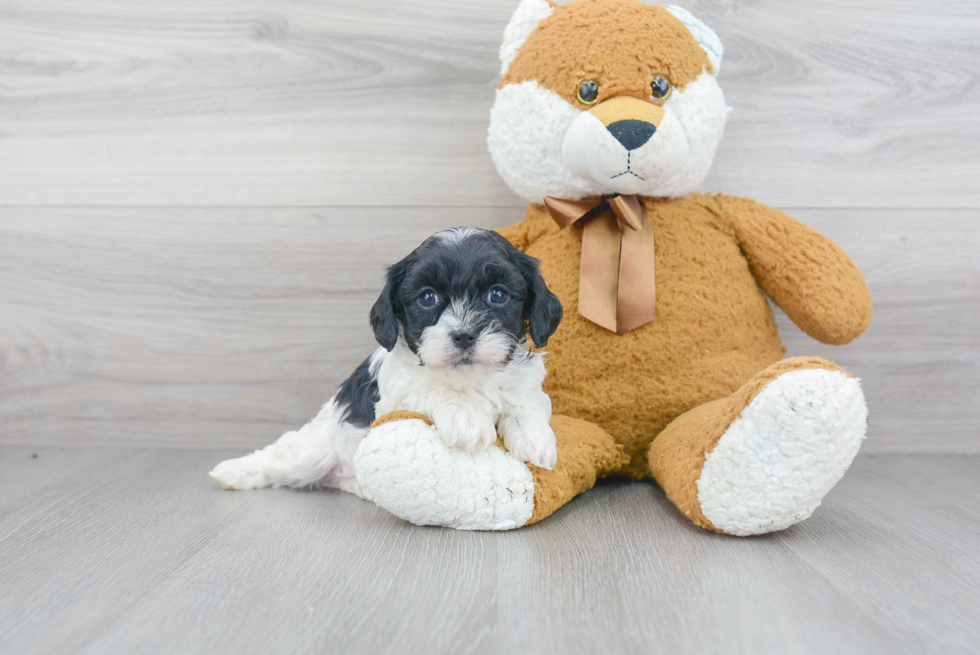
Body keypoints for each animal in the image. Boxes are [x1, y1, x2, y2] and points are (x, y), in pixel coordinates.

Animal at [211, 228, 564, 494]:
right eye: (427, 297)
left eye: (498, 294)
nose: (464, 335)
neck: (468, 380)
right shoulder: (395, 395)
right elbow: (433, 390)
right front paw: (466, 418)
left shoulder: (526, 384)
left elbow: (528, 403)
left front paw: (535, 438)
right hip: (310, 451)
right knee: (279, 455)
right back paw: (233, 472)